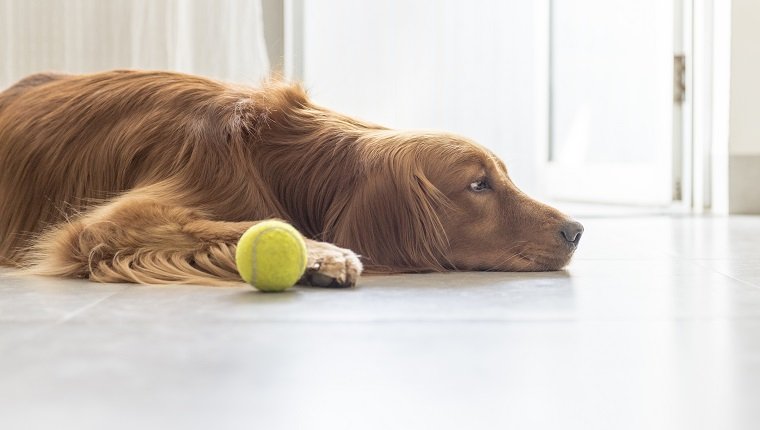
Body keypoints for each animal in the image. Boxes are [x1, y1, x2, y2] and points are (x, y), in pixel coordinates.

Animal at [0, 70, 580, 286]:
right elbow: (238, 225)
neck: (273, 158)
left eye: (502, 175)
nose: (577, 230)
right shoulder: (109, 223)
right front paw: (323, 255)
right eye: (478, 184)